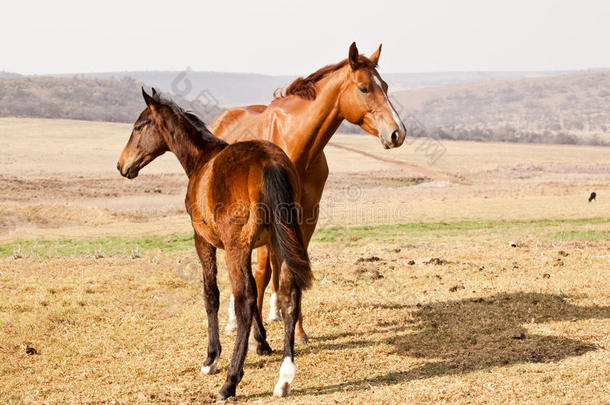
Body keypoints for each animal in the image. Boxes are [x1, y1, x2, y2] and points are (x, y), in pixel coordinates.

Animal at [117, 88, 312, 398]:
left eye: (138, 126)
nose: (122, 165)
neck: (201, 160)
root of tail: (268, 162)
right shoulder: (259, 245)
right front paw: (262, 343)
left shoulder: (204, 242)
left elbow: (213, 295)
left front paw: (211, 358)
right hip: (283, 242)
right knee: (288, 297)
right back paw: (284, 378)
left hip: (236, 248)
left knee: (244, 299)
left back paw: (230, 381)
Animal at [211, 41, 406, 340]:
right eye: (364, 88)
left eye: (384, 85)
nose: (398, 133)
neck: (293, 145)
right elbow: (260, 273)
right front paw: (257, 336)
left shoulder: (306, 217)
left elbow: (293, 268)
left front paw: (299, 330)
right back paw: (235, 320)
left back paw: (276, 312)